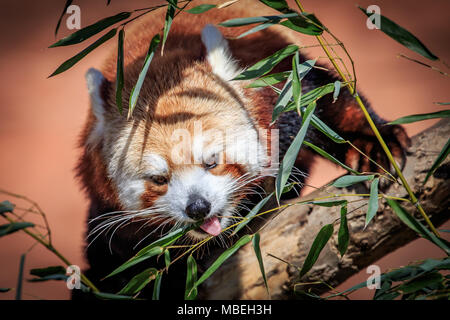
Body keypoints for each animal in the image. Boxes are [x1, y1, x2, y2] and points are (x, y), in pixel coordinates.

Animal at [75, 0, 410, 300]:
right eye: (159, 179)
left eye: (212, 162)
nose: (198, 207)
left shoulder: (279, 80)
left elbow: (325, 101)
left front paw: (374, 146)